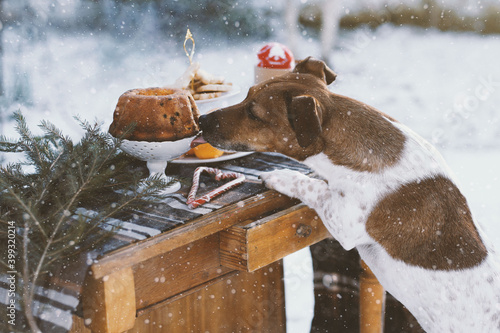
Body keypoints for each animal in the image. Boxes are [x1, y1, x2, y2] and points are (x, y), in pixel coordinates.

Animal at [201, 57, 500, 332]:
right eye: (247, 93)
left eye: (254, 114)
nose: (201, 119)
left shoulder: (342, 219)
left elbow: (311, 185)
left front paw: (279, 176)